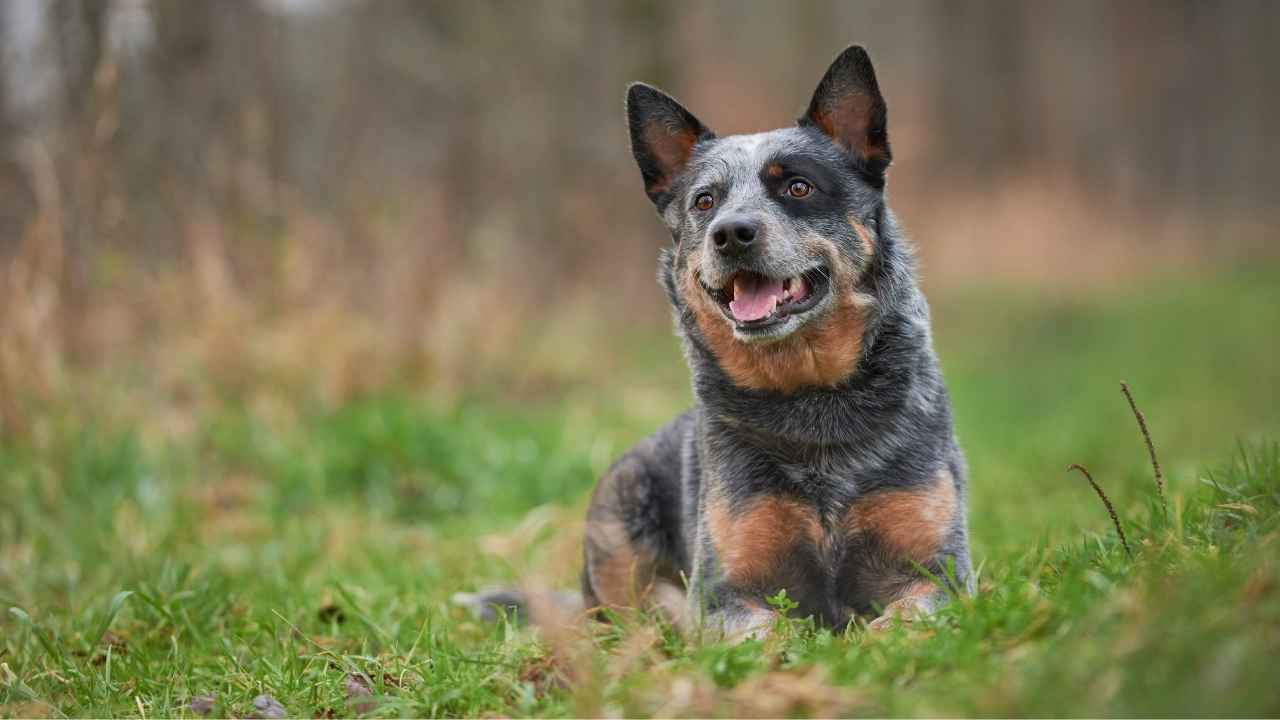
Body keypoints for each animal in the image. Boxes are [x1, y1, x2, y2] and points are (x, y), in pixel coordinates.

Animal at [460, 44, 967, 635]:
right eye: (704, 201)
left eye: (798, 186)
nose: (731, 233)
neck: (811, 399)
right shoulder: (727, 592)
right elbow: (766, 630)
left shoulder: (940, 572)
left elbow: (907, 616)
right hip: (619, 505)